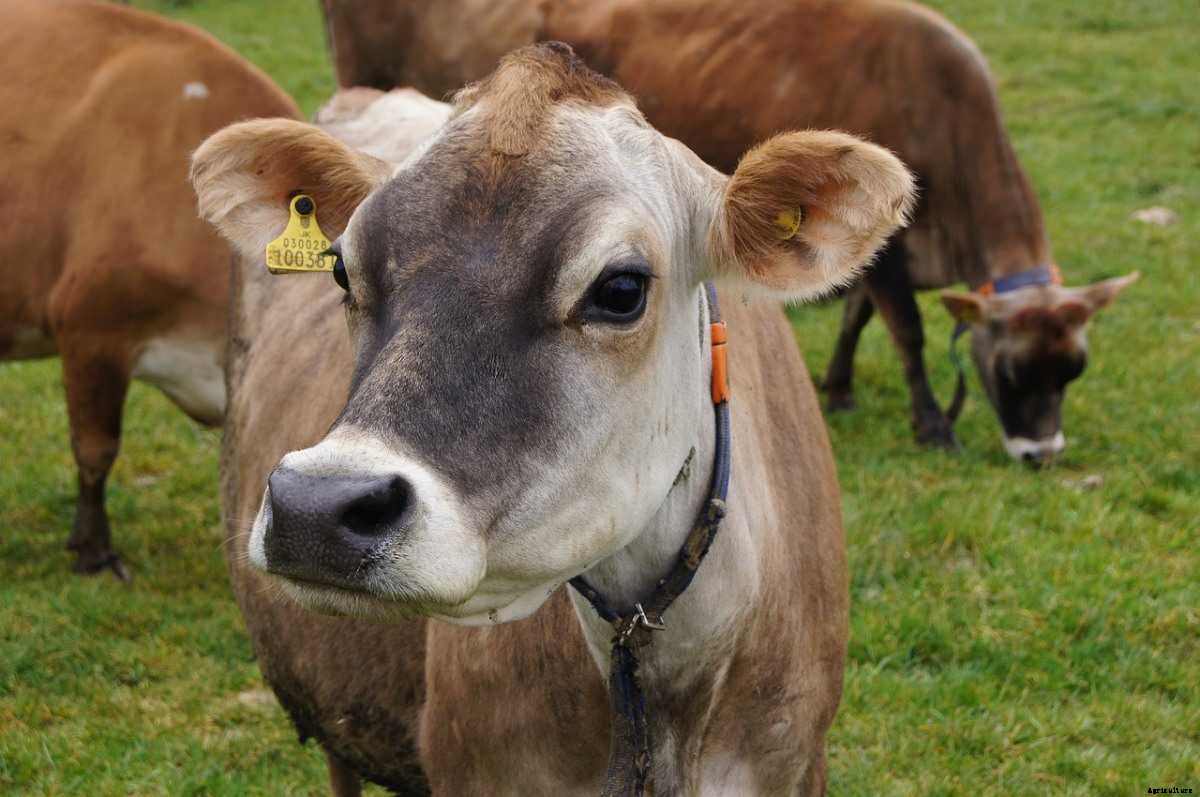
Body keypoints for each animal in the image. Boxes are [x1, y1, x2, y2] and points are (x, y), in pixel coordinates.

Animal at [318, 0, 1139, 462]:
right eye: (1011, 372)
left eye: (1073, 370)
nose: (1041, 453)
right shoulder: (894, 255)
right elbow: (904, 332)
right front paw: (934, 424)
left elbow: (855, 317)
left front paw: (840, 388)